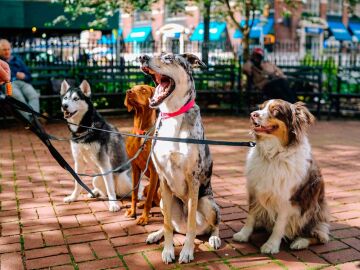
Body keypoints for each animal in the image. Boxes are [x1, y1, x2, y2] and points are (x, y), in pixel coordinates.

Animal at [60, 79, 136, 212]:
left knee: (126, 190)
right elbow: (77, 182)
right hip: (96, 178)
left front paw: (113, 204)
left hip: (123, 179)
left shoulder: (104, 163)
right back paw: (95, 192)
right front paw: (73, 197)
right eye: (65, 98)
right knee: (104, 190)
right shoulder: (78, 161)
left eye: (75, 99)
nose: (64, 106)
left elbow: (110, 188)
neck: (85, 129)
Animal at [124, 85, 160, 225]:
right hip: (146, 186)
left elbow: (149, 200)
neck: (142, 133)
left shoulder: (154, 170)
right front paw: (132, 211)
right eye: (131, 88)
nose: (128, 92)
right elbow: (134, 194)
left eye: (143, 89)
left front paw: (144, 217)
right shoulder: (134, 168)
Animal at [139, 53, 221, 264]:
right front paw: (168, 251)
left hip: (207, 203)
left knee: (213, 224)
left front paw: (186, 252)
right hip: (162, 200)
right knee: (172, 225)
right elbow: (167, 225)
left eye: (168, 57)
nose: (142, 56)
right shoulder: (163, 179)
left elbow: (191, 224)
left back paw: (214, 238)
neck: (173, 115)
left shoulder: (193, 180)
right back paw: (156, 234)